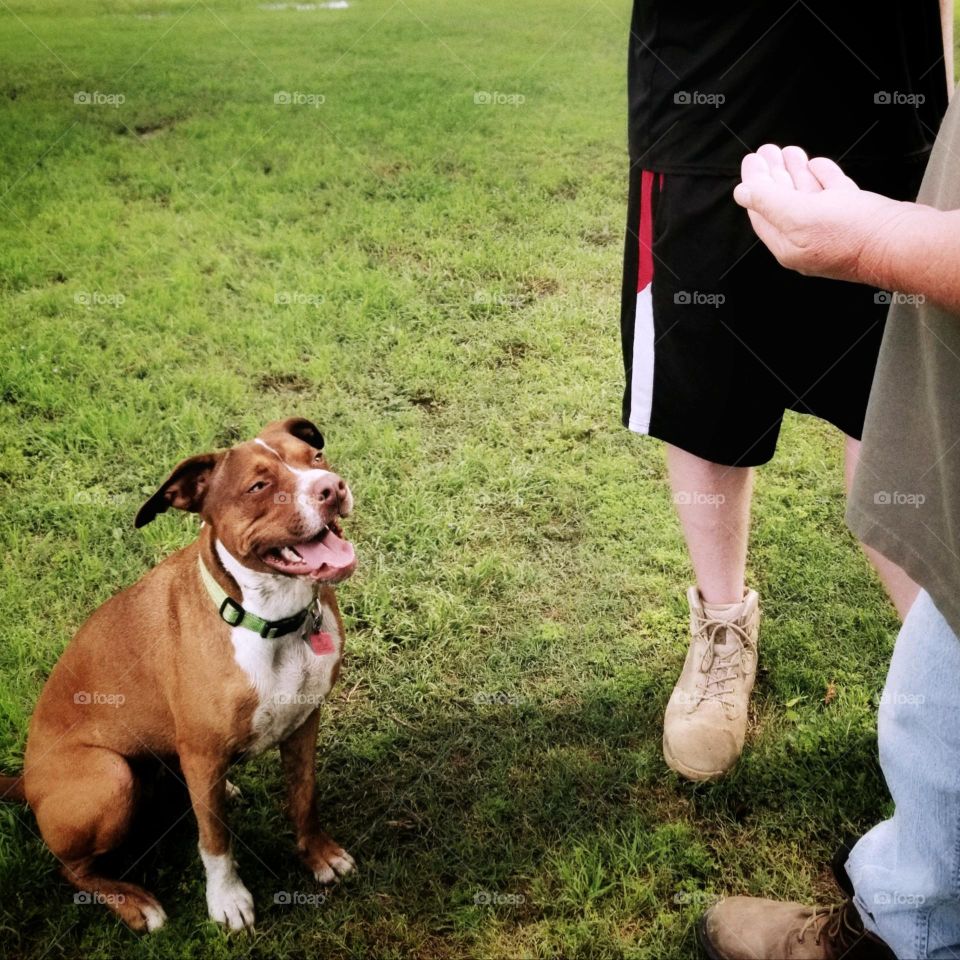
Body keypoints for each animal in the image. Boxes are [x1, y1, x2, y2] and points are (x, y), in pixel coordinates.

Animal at [0, 418, 356, 928]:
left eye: (315, 459)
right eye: (259, 486)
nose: (332, 487)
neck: (270, 618)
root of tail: (25, 780)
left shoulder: (304, 722)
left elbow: (304, 797)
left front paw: (318, 855)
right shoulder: (202, 754)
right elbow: (215, 840)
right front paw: (227, 899)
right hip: (109, 776)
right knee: (70, 870)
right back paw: (132, 901)